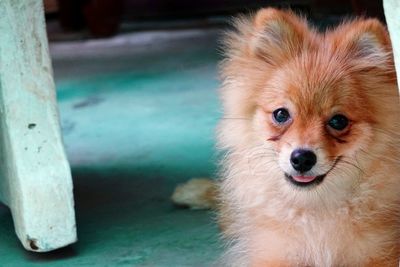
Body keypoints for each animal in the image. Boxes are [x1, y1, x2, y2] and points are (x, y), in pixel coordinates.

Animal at [216, 7, 400, 266]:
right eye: (281, 114)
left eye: (338, 121)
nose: (302, 158)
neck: (314, 208)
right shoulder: (274, 253)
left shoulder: (381, 253)